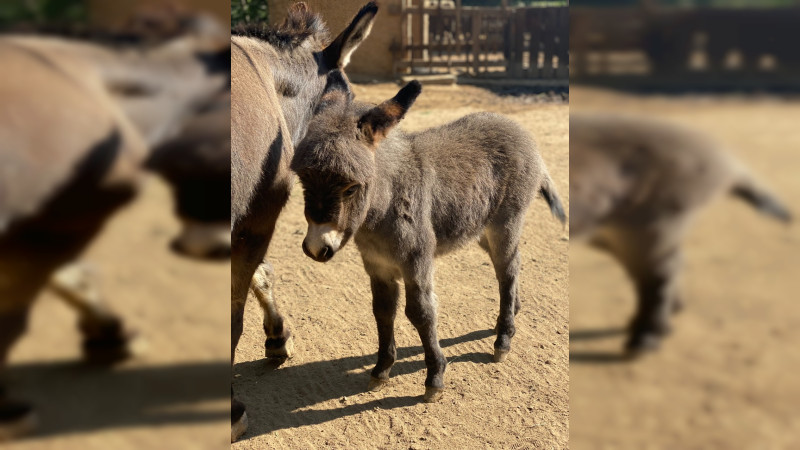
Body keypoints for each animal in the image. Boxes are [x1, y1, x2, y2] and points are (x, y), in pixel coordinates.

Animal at [290, 80, 564, 400]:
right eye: (304, 181)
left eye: (350, 188)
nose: (315, 248)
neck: (383, 207)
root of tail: (518, 129)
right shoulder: (377, 266)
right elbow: (382, 311)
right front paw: (381, 370)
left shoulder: (416, 261)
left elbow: (421, 312)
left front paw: (434, 376)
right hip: (482, 228)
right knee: (512, 264)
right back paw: (513, 311)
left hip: (505, 223)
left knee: (506, 271)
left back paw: (503, 339)